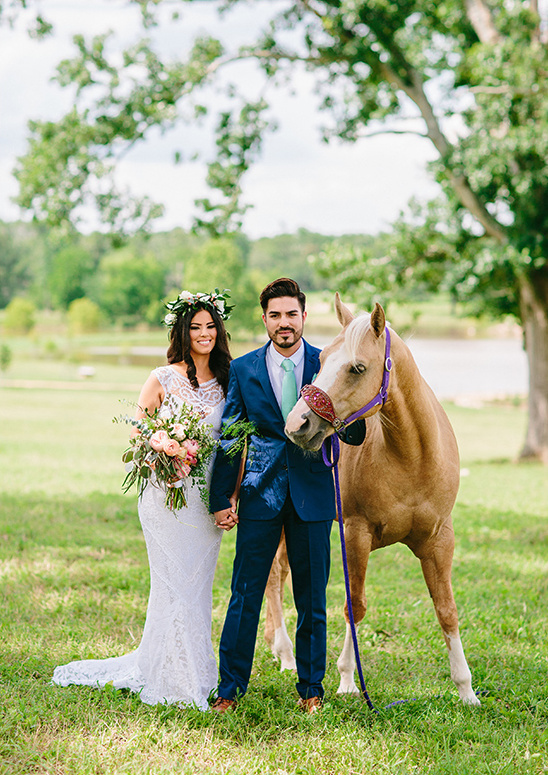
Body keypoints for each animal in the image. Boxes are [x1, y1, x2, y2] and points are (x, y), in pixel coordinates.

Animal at [282, 294, 480, 708]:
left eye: (357, 368)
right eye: (322, 360)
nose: (297, 425)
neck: (412, 458)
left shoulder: (440, 540)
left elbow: (447, 611)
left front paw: (467, 690)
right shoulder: (355, 536)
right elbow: (354, 605)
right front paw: (347, 679)